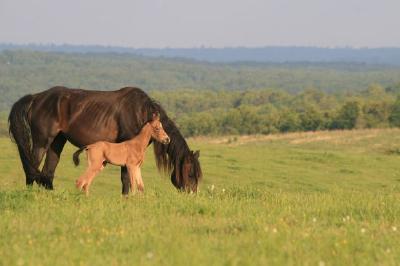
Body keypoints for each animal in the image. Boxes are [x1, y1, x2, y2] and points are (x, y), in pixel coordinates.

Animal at [8, 87, 203, 193]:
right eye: (190, 173)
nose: (192, 194)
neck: (140, 112)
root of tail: (36, 98)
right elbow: (126, 178)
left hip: (57, 142)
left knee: (47, 173)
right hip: (42, 142)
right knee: (31, 168)